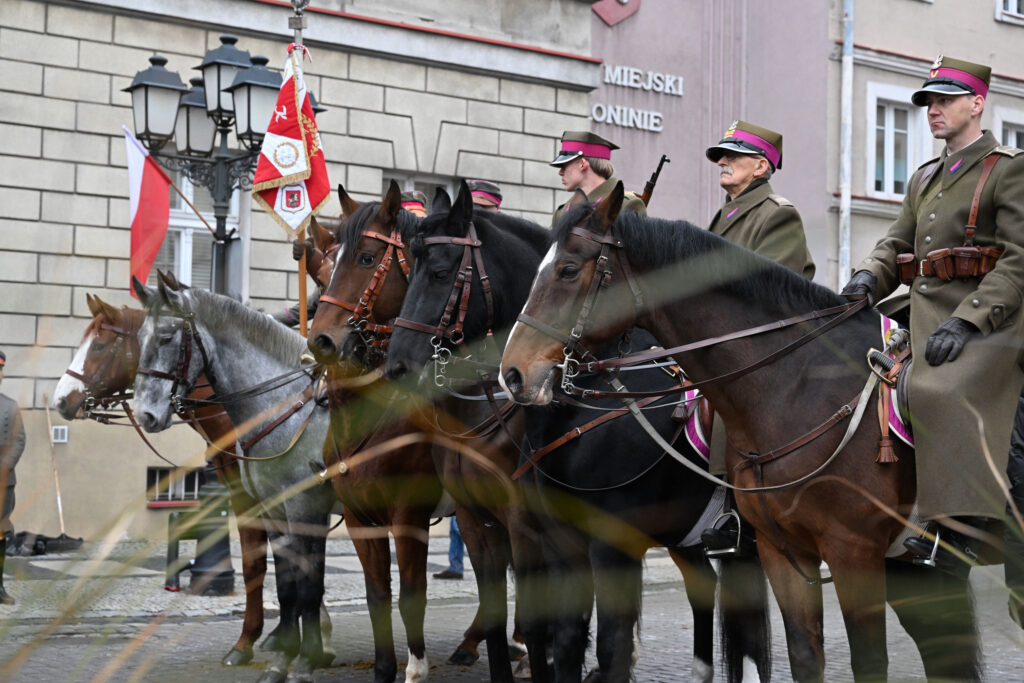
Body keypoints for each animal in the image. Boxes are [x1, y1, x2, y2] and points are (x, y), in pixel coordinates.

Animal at [132, 278, 337, 683]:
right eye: (138, 337)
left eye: (166, 336)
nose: (145, 414)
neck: (285, 408)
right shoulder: (272, 509)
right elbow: (286, 582)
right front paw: (281, 658)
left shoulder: (307, 508)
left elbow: (310, 583)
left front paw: (306, 659)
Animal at [309, 181, 529, 676]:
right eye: (320, 278)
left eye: (366, 258)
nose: (322, 339)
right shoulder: (360, 521)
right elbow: (377, 595)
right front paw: (384, 668)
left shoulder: (408, 518)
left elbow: (412, 596)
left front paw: (415, 668)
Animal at [500, 182, 985, 681]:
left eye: (568, 269)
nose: (513, 374)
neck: (798, 383)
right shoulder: (561, 543)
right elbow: (563, 642)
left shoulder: (852, 552)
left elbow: (608, 650)